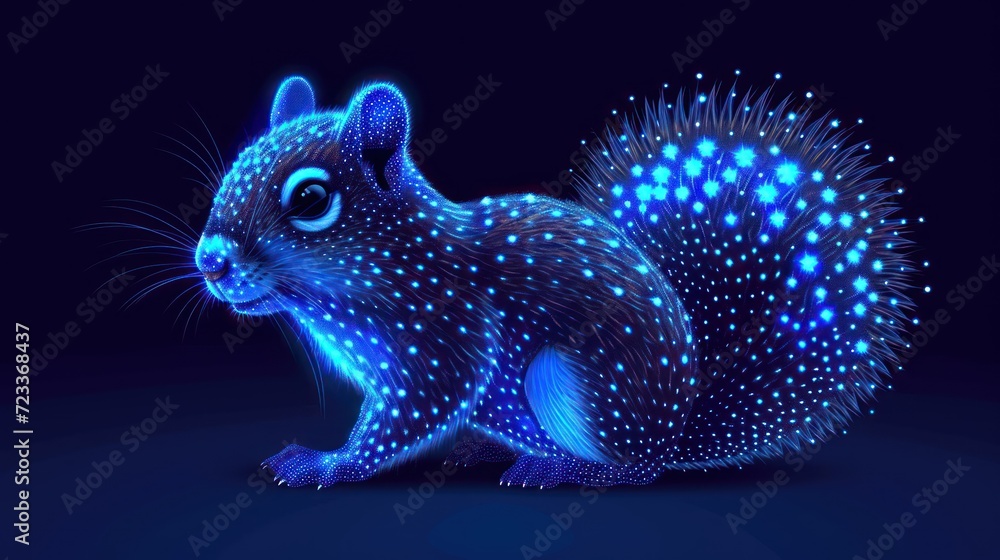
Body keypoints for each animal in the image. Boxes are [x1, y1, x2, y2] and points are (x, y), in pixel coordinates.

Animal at [194, 75, 914, 488]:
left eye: (311, 198)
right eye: (235, 166)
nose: (210, 262)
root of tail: (676, 429)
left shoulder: (447, 336)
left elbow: (408, 414)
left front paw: (326, 464)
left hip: (575, 385)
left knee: (635, 472)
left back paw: (558, 467)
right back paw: (483, 452)